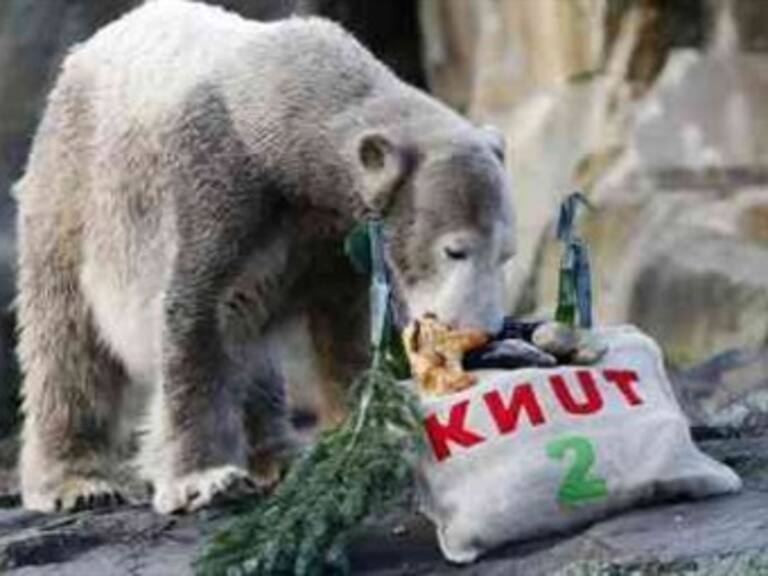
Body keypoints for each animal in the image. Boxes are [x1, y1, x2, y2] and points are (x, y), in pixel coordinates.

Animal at [14, 0, 516, 514]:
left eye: (506, 255)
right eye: (455, 250)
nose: (481, 336)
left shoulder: (329, 232)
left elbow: (346, 325)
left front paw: (372, 434)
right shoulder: (215, 183)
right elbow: (194, 316)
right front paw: (204, 479)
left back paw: (280, 456)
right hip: (75, 192)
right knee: (67, 339)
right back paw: (77, 482)